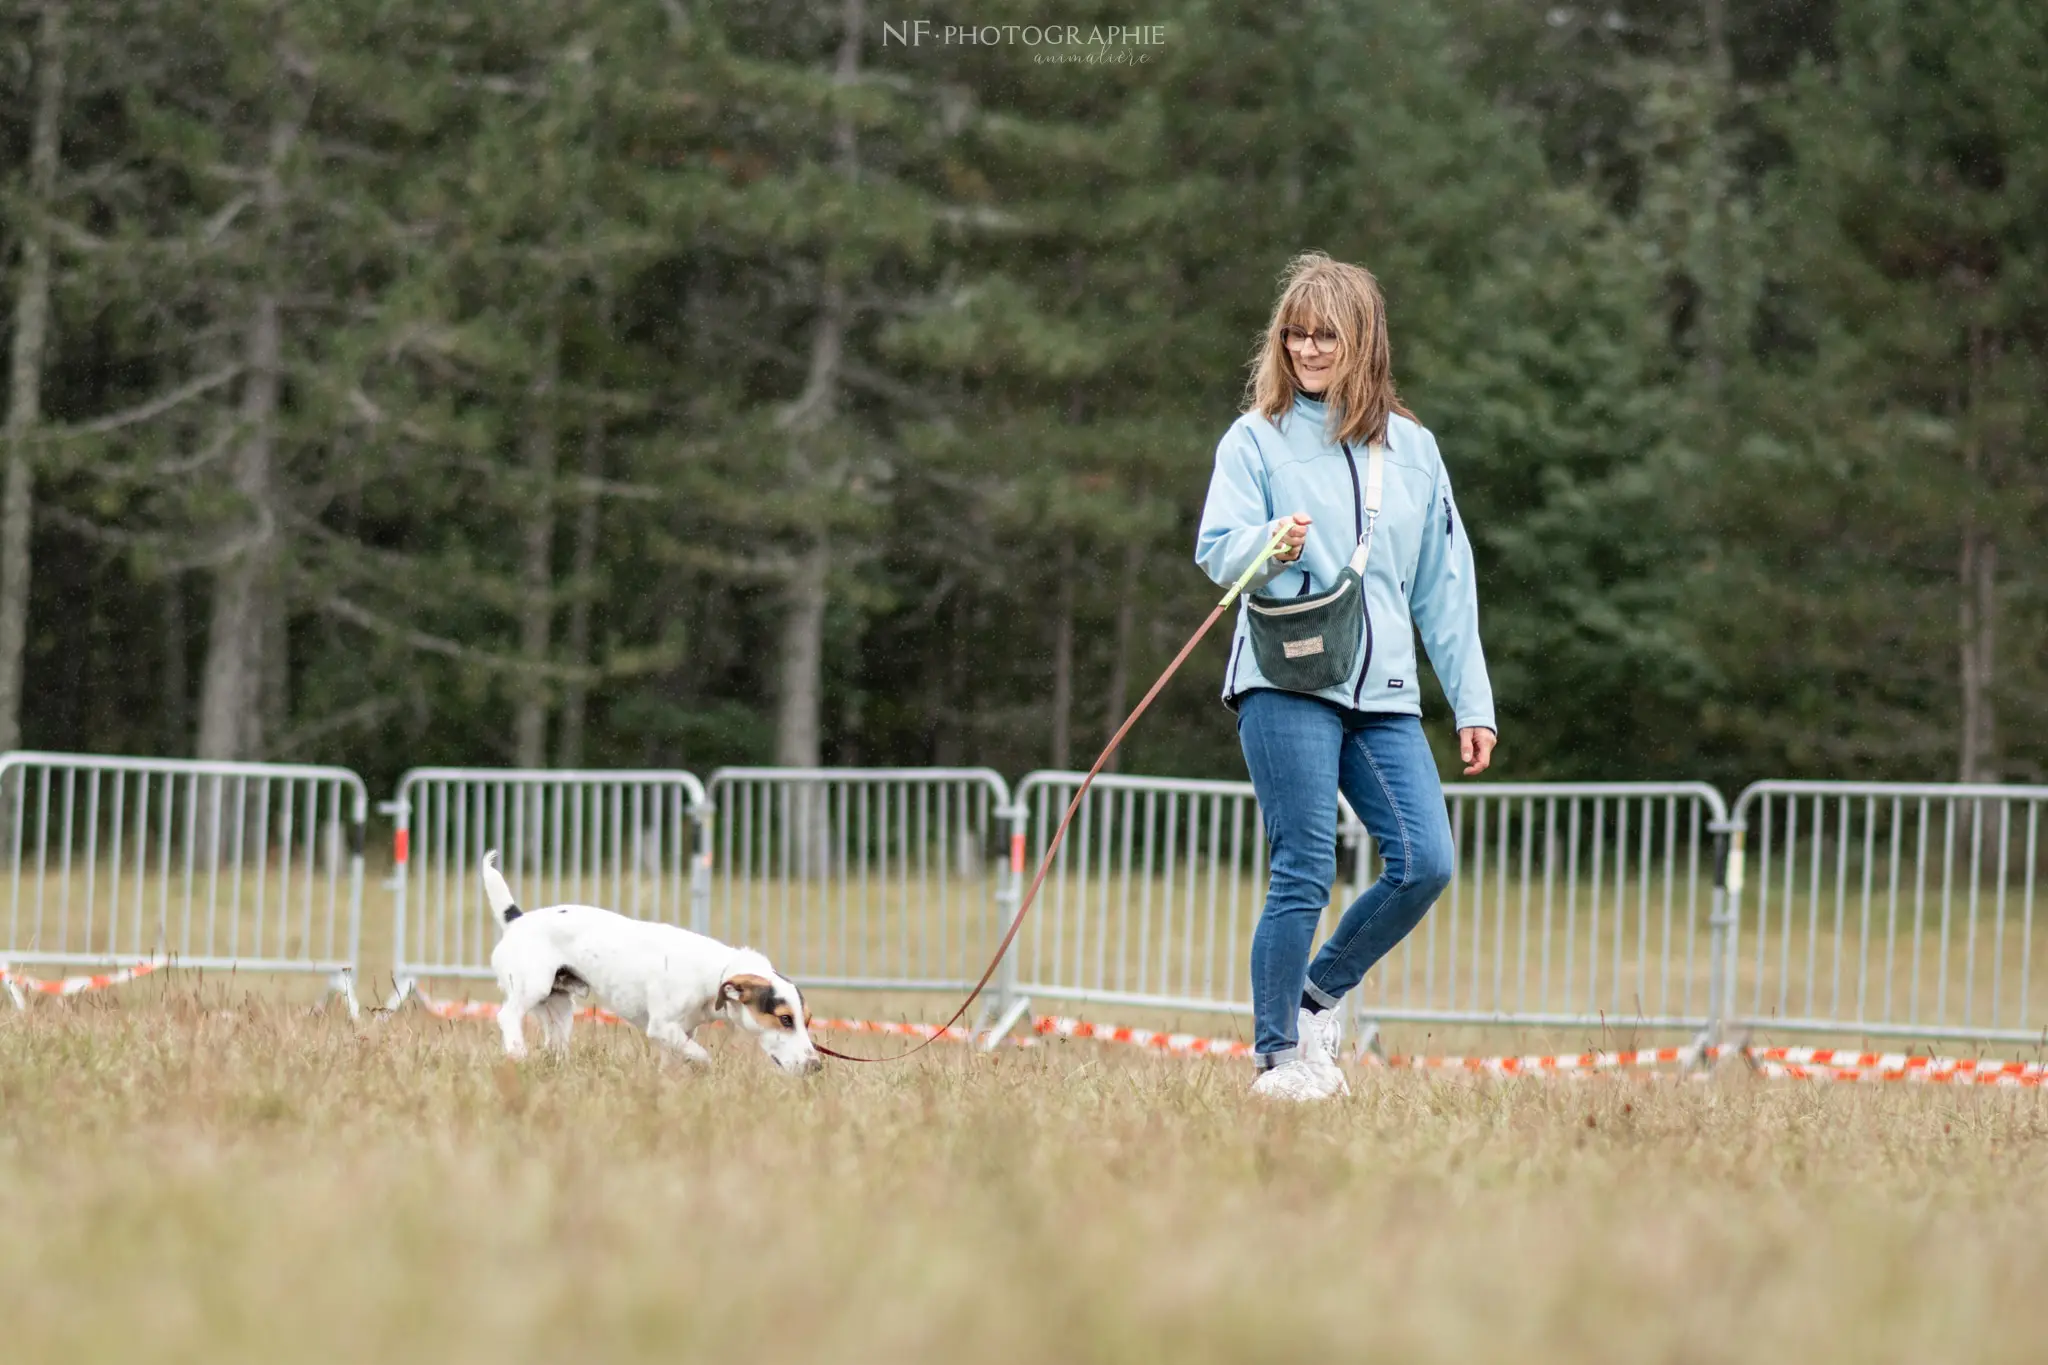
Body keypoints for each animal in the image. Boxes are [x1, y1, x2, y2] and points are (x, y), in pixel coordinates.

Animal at [481, 843, 823, 1080]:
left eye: (806, 1020)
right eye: (785, 1019)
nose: (816, 1065)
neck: (714, 974)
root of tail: (516, 919)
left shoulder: (681, 1033)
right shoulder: (661, 1027)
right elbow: (701, 1057)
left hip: (560, 1008)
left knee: (555, 1044)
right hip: (533, 987)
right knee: (507, 1016)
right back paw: (517, 1053)